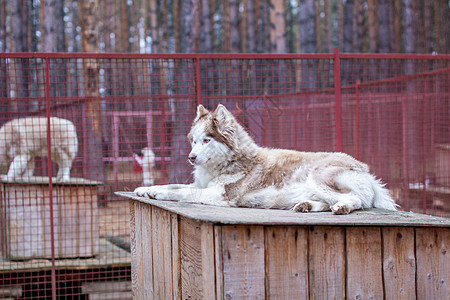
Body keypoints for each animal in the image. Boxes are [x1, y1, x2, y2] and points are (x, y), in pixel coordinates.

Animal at [134, 104, 398, 214]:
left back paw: (341, 207)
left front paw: (155, 192)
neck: (230, 160)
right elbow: (172, 185)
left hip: (316, 176)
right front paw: (145, 189)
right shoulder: (201, 184)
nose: (191, 157)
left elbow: (182, 192)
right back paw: (307, 206)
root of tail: (366, 171)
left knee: (356, 200)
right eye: (193, 141)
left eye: (207, 140)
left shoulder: (221, 196)